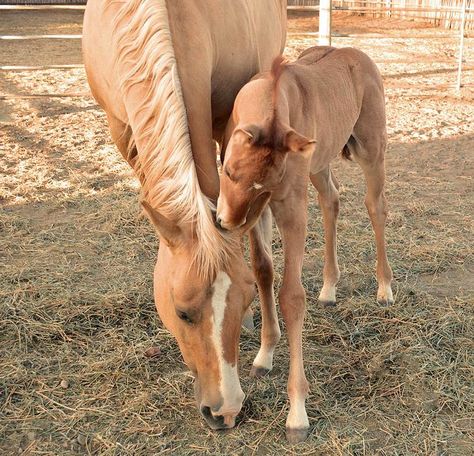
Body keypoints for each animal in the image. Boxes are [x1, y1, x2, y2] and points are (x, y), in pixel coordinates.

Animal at [217, 47, 394, 442]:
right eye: (228, 171)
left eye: (265, 185)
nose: (226, 222)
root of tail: (361, 56)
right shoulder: (261, 211)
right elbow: (262, 270)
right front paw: (265, 354)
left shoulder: (288, 206)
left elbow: (292, 296)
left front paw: (297, 412)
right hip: (320, 162)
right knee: (331, 199)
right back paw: (329, 288)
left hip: (371, 149)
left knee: (375, 206)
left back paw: (384, 287)